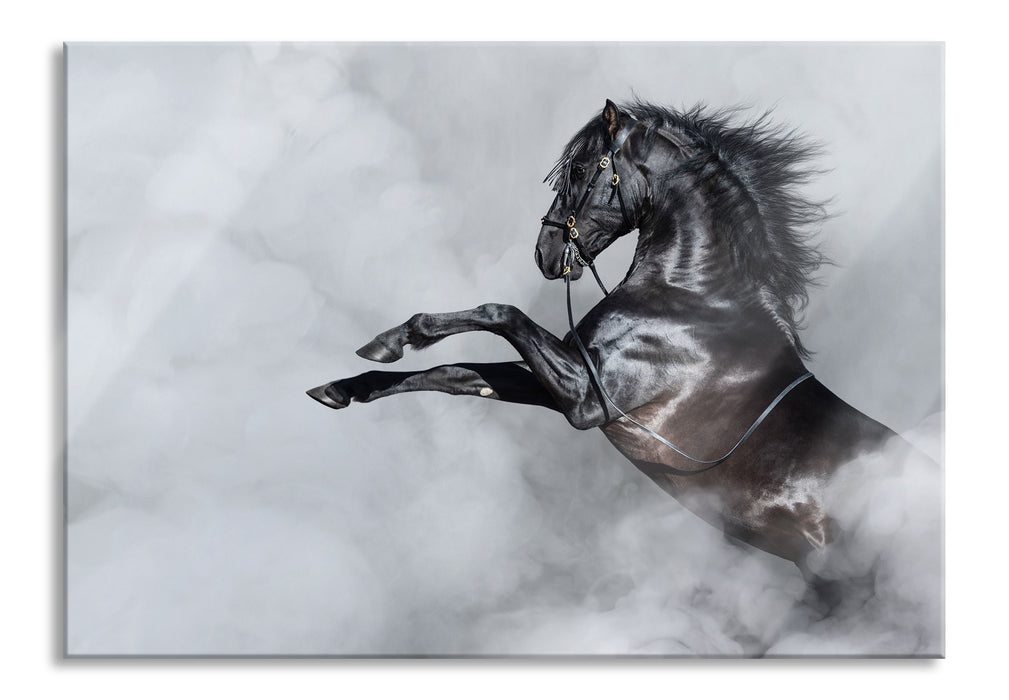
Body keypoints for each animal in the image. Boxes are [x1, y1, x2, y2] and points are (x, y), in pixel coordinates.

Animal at [307, 99, 909, 603]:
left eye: (578, 170)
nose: (546, 251)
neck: (693, 299)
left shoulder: (586, 399)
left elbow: (498, 314)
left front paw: (397, 340)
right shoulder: (561, 380)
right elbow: (457, 373)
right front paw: (348, 381)